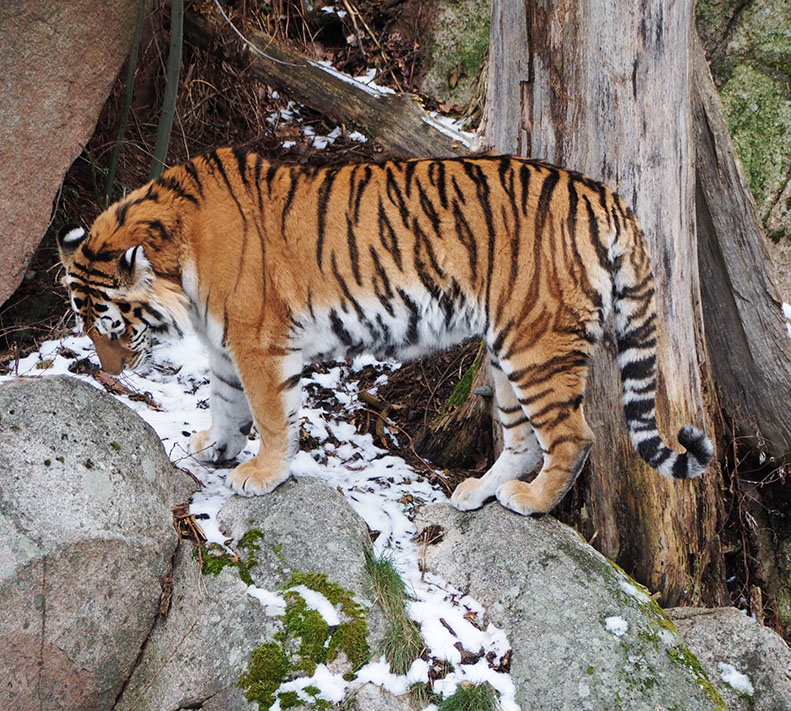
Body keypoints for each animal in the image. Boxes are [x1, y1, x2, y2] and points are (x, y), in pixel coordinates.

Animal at [57, 148, 713, 516]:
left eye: (114, 327)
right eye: (86, 326)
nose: (108, 373)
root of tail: (608, 195)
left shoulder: (258, 339)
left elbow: (269, 413)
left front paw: (262, 474)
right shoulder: (226, 345)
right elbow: (224, 400)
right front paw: (216, 446)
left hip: (538, 345)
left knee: (575, 437)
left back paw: (529, 503)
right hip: (508, 351)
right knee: (524, 440)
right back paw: (477, 493)